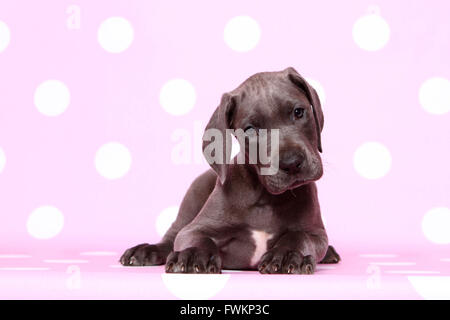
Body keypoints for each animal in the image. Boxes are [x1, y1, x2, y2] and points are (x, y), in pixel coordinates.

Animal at [121, 66, 340, 274]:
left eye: (298, 112)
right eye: (250, 130)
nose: (292, 162)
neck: (265, 196)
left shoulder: (316, 234)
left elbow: (299, 235)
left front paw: (286, 254)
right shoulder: (193, 230)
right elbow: (198, 238)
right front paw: (193, 254)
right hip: (193, 195)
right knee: (170, 240)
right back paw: (144, 251)